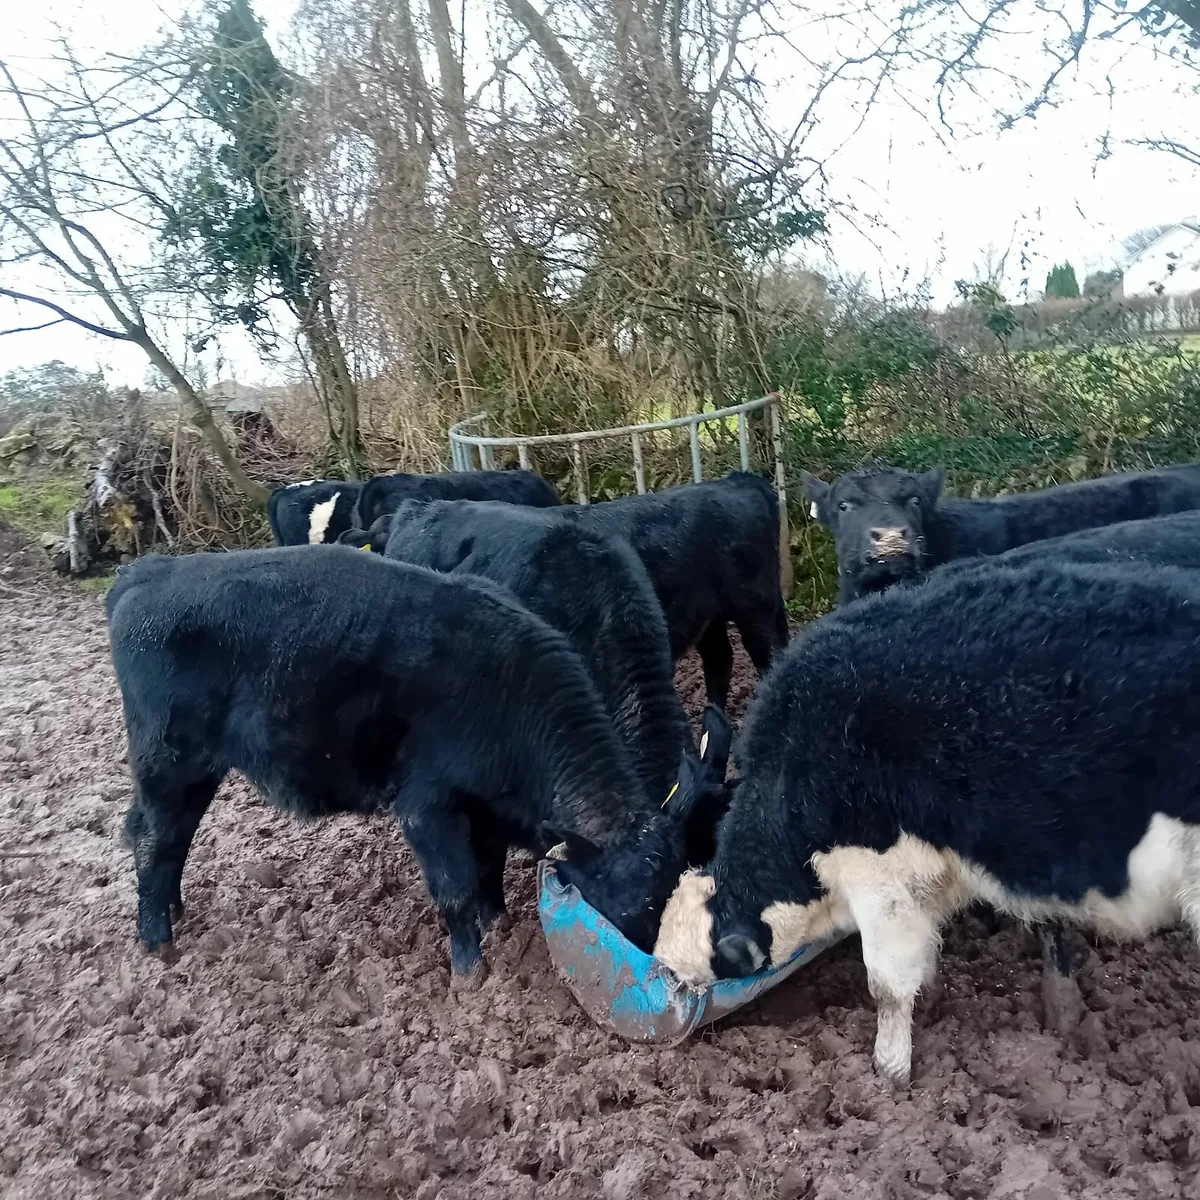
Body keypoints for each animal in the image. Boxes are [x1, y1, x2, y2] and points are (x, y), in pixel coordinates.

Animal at [107, 545, 727, 984]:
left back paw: (173, 909)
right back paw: (157, 938)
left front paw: (498, 921)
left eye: (667, 888)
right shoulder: (426, 806)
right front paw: (470, 971)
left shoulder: (485, 808)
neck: (507, 689)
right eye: (629, 900)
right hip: (168, 764)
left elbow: (487, 867)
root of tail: (149, 572)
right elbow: (454, 885)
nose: (653, 963)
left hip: (191, 772)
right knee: (153, 838)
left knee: (164, 836)